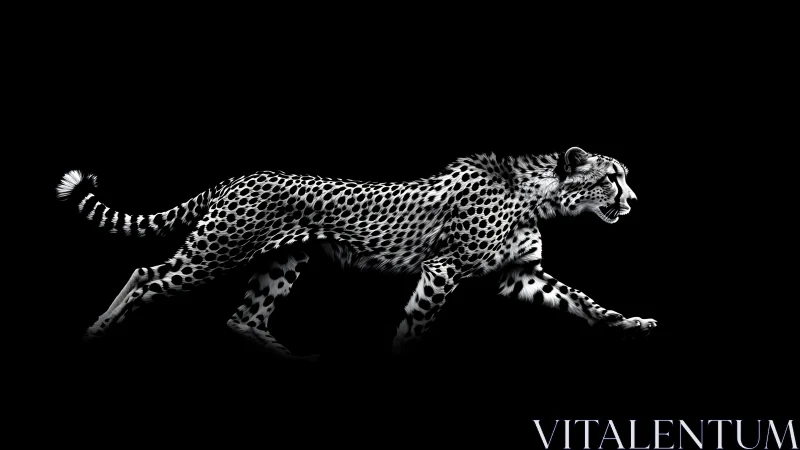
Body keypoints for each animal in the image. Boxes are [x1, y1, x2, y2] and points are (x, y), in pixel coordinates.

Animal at [58, 146, 656, 362]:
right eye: (611, 178)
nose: (632, 201)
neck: (536, 195)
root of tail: (238, 176)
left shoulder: (520, 275)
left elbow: (585, 303)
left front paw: (632, 324)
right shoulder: (443, 268)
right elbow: (415, 323)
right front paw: (398, 359)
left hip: (281, 263)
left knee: (242, 317)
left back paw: (297, 359)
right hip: (216, 251)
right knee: (147, 274)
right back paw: (97, 330)